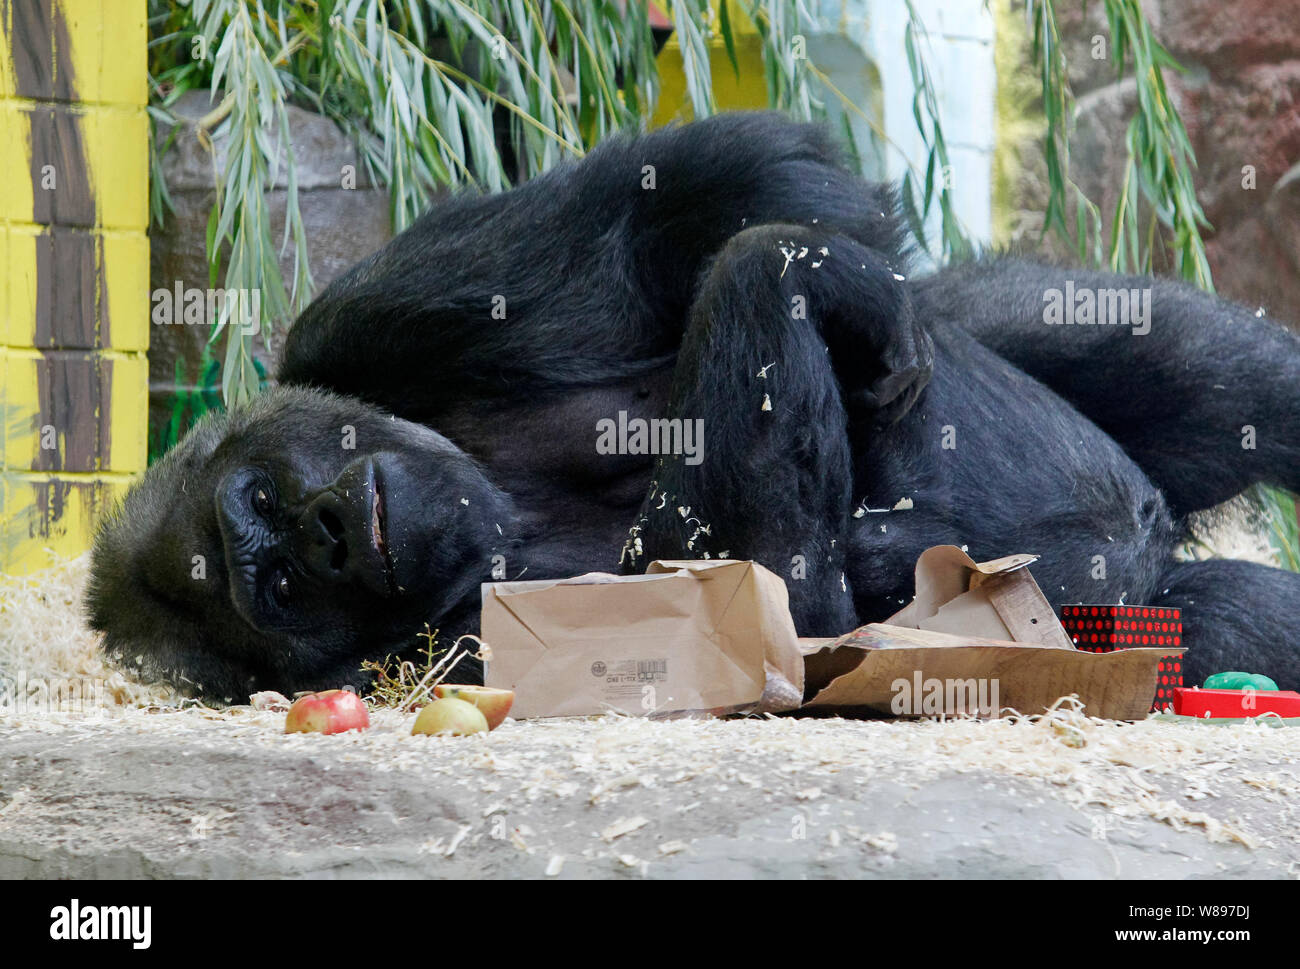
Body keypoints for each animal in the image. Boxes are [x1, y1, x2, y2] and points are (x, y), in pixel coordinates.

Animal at [86, 113, 1294, 697]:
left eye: (269, 502)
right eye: (283, 586)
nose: (332, 526)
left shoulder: (368, 320)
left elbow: (683, 200)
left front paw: (814, 255)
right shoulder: (439, 654)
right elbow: (780, 606)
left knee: (1202, 377)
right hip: (1137, 616)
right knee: (1221, 619)